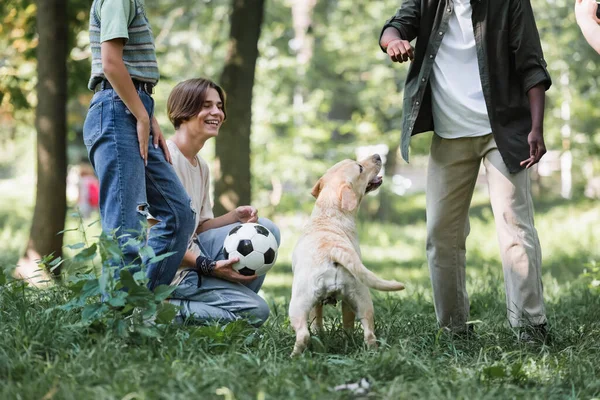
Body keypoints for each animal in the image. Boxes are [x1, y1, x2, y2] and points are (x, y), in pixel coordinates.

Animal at [288, 155, 406, 358]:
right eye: (360, 168)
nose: (377, 155)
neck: (329, 213)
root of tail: (333, 250)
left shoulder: (316, 305)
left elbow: (317, 321)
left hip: (298, 303)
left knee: (303, 334)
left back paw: (295, 356)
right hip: (361, 299)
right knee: (368, 333)